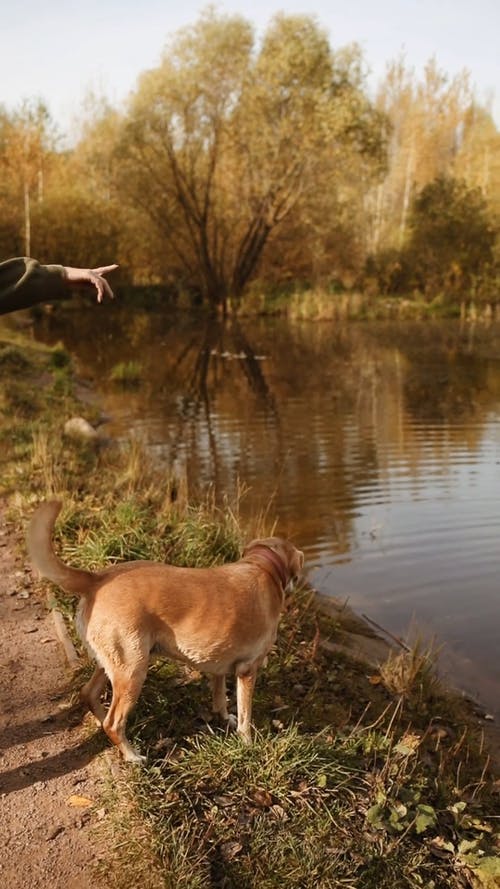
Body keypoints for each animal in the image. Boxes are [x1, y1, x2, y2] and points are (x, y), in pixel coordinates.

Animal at [28, 502, 304, 760]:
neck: (263, 567)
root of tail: (96, 578)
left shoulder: (218, 665)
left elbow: (219, 697)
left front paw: (224, 719)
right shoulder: (247, 670)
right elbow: (245, 715)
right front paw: (248, 744)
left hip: (114, 663)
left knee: (89, 694)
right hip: (133, 670)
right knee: (114, 722)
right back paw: (132, 755)